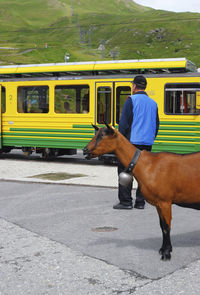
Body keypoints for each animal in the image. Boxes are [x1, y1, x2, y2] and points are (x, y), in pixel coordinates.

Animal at [83, 125, 200, 262]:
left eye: (102, 136)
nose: (85, 150)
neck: (146, 164)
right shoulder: (158, 204)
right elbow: (161, 226)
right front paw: (163, 249)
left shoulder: (165, 202)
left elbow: (166, 227)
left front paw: (166, 254)